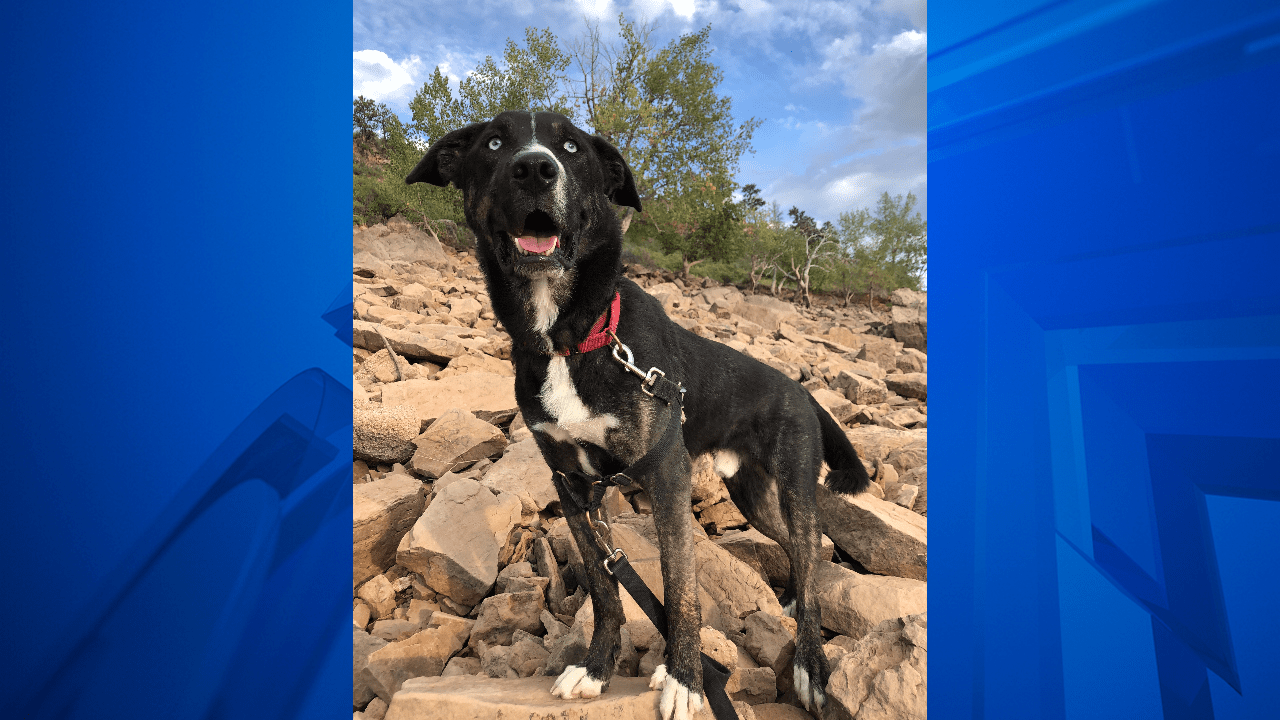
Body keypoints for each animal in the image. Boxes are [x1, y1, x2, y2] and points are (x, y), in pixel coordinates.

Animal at [409, 112, 870, 717]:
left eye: (571, 146)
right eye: (493, 142)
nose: (533, 168)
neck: (575, 340)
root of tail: (802, 390)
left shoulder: (667, 475)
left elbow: (680, 586)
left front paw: (686, 679)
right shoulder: (572, 484)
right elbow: (605, 589)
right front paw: (596, 667)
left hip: (795, 481)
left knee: (810, 542)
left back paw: (812, 663)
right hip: (749, 492)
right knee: (799, 546)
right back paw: (794, 600)